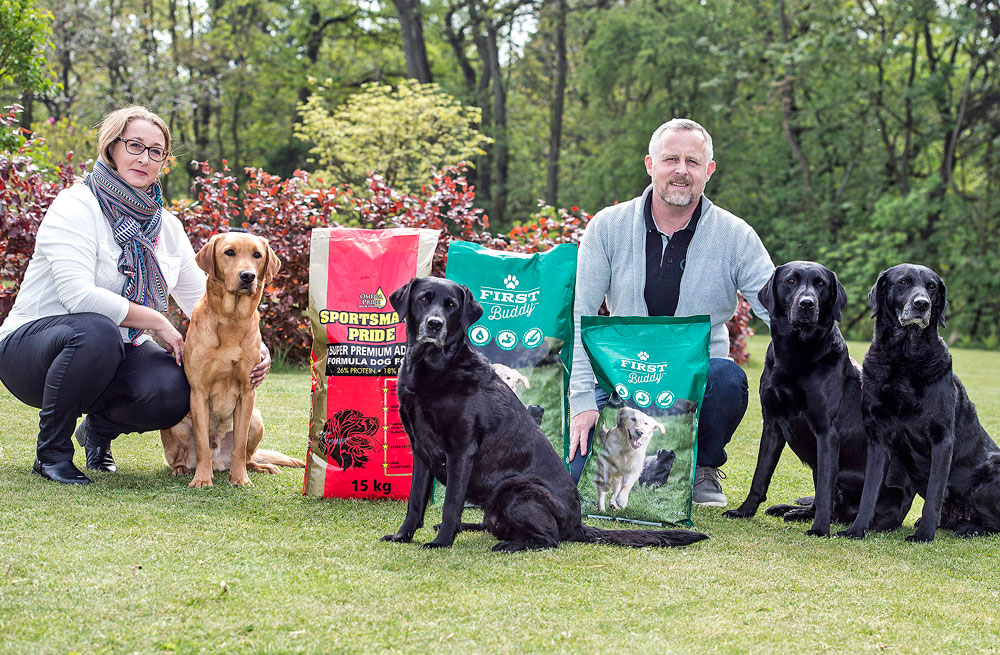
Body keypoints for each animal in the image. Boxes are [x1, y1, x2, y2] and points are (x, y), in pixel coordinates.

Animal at [378, 276, 708, 552]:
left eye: (451, 306)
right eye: (423, 299)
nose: (434, 324)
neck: (434, 366)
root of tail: (578, 523)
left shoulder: (461, 450)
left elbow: (450, 504)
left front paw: (441, 543)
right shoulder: (421, 450)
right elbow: (415, 502)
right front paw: (403, 536)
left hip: (517, 490)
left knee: (549, 539)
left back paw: (509, 545)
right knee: (496, 525)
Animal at [728, 262, 916, 540]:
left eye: (821, 284)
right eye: (791, 281)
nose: (807, 304)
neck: (797, 351)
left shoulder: (827, 432)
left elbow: (826, 491)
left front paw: (819, 529)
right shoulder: (772, 425)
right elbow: (760, 475)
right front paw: (745, 511)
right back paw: (792, 511)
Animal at [836, 264, 1000, 540]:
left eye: (932, 287)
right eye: (903, 282)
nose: (922, 304)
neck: (905, 356)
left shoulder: (942, 439)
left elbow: (934, 492)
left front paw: (924, 535)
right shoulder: (878, 438)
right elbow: (870, 491)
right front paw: (857, 529)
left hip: (989, 478)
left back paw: (967, 527)